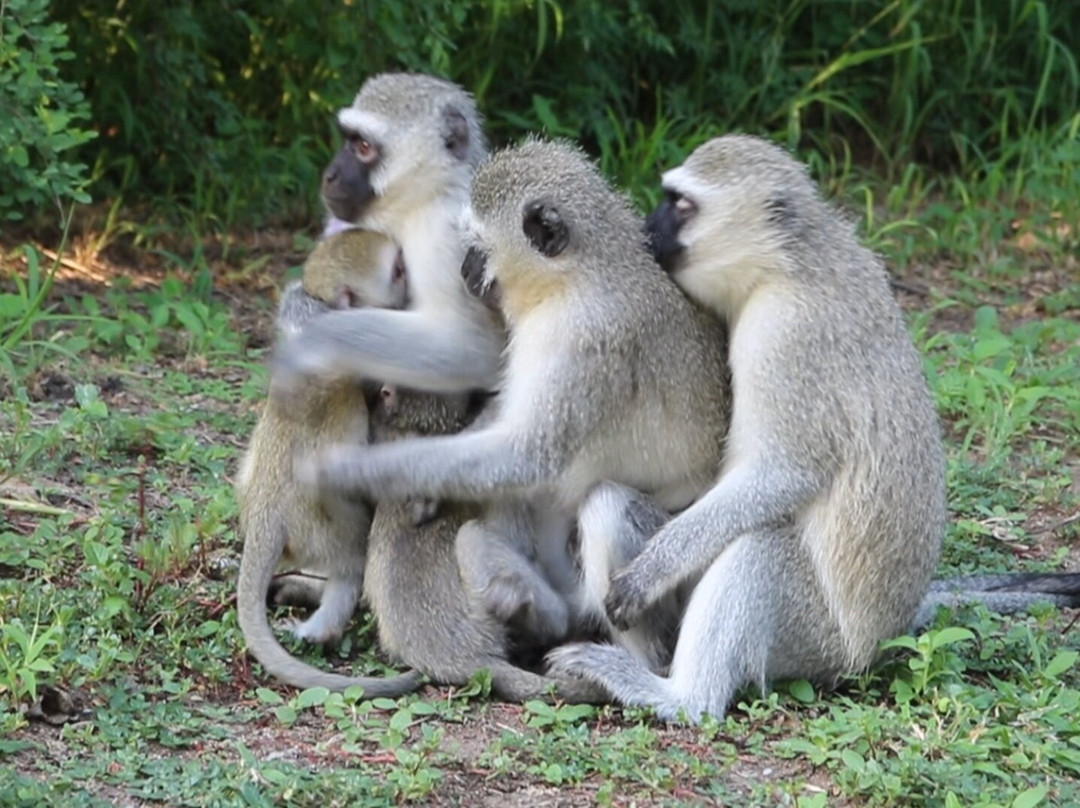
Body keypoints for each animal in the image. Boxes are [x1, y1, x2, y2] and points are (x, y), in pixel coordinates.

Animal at [235, 227, 423, 696]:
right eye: (396, 270)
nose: (410, 281)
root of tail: (265, 513)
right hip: (317, 524)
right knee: (351, 562)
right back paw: (324, 626)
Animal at [292, 138, 731, 669]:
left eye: (477, 245)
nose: (464, 269)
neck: (575, 280)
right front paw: (424, 483)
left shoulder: (582, 340)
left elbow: (527, 455)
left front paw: (351, 470)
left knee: (606, 506)